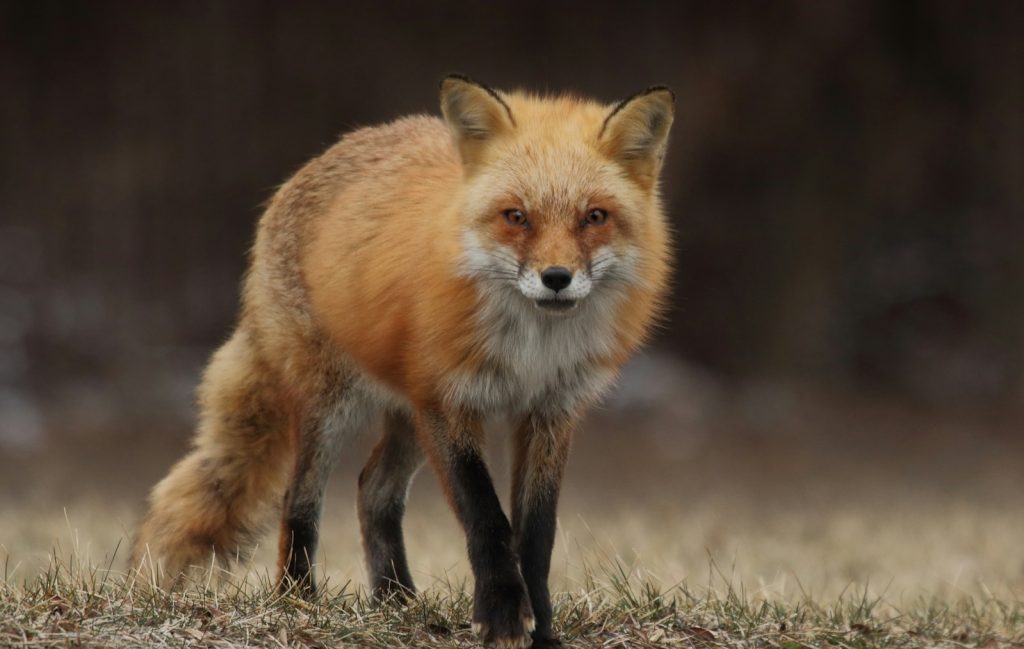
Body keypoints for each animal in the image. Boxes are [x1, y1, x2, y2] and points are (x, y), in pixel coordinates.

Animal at [130, 74, 673, 648]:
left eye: (594, 217)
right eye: (516, 217)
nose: (556, 278)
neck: (530, 350)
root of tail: (318, 160)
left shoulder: (550, 413)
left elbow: (537, 534)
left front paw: (542, 629)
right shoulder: (449, 402)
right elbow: (487, 518)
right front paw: (503, 616)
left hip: (409, 416)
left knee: (373, 491)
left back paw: (396, 600)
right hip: (335, 406)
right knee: (298, 500)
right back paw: (299, 600)